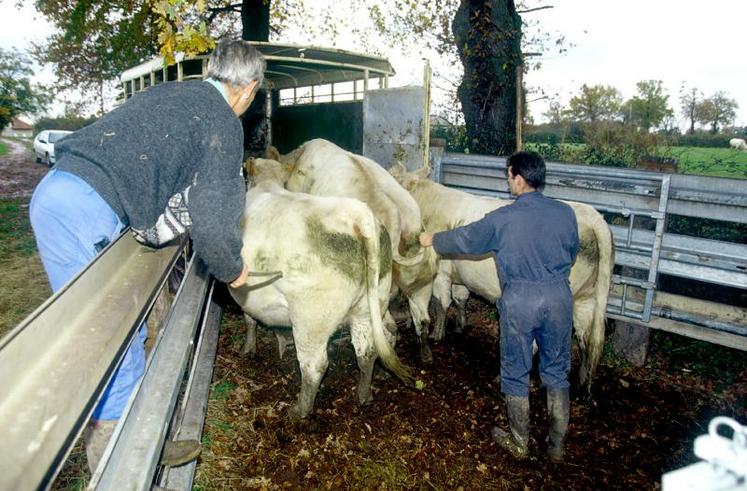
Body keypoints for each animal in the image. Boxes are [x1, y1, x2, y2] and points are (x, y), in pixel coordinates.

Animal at [229, 159, 412, 418]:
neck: (267, 184)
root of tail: (359, 217)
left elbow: (249, 318)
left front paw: (247, 349)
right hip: (369, 304)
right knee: (367, 351)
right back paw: (364, 395)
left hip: (311, 315)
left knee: (314, 365)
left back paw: (299, 410)